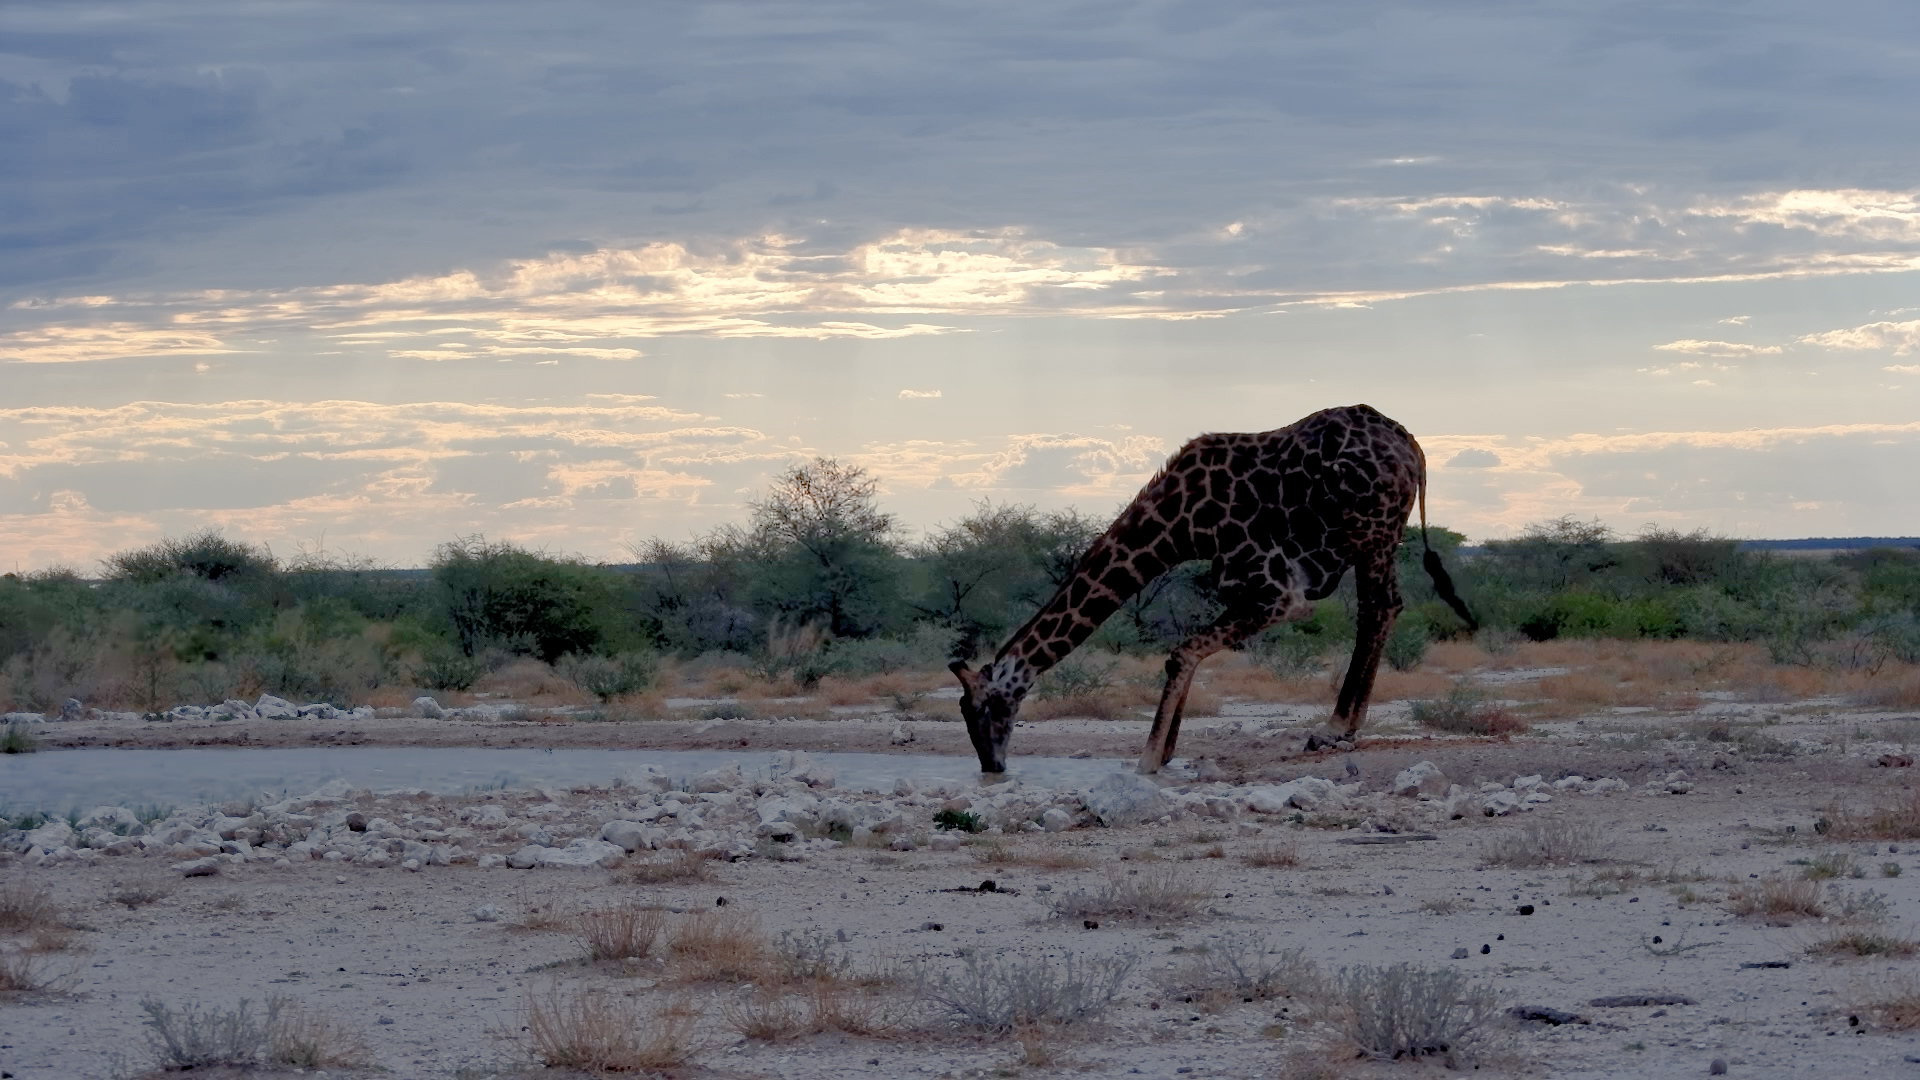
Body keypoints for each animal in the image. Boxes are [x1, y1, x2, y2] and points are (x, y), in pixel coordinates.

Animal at [949, 404, 1475, 775]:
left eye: (985, 708)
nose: (992, 766)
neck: (1184, 527)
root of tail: (1412, 446)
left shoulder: (1278, 593)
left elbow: (1180, 652)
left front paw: (1148, 759)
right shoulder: (1247, 590)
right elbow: (1187, 653)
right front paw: (1167, 752)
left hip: (1371, 534)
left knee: (1377, 608)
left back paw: (1335, 728)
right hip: (1383, 535)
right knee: (1386, 607)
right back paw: (1344, 726)